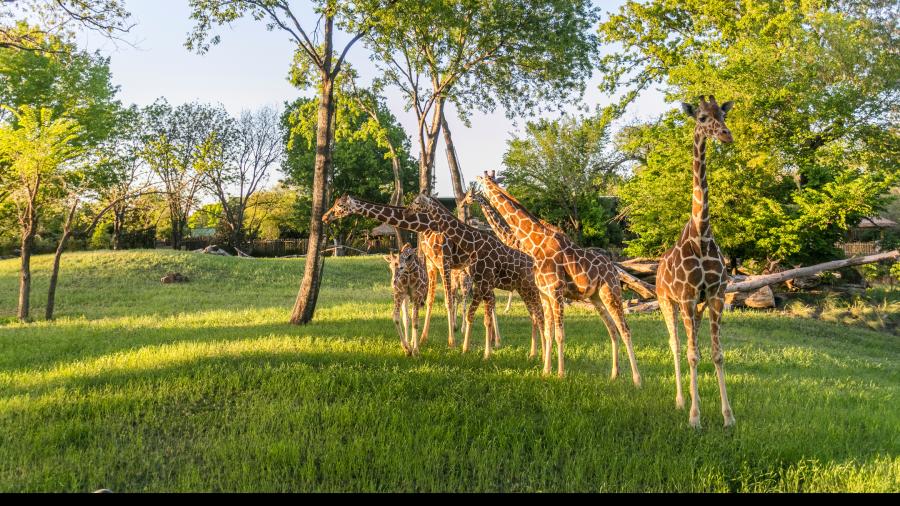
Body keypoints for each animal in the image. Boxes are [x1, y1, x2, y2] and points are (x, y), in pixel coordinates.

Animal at [323, 195, 471, 348]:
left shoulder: (444, 261)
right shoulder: (431, 263)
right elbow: (430, 300)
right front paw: (422, 339)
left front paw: (452, 342)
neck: (427, 225)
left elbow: (447, 301)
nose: (325, 217)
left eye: (340, 205)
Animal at [475, 173, 641, 384]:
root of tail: (613, 267)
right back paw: (614, 374)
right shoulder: (545, 294)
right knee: (612, 329)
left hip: (611, 292)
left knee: (625, 329)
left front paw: (560, 374)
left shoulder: (556, 292)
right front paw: (546, 371)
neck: (536, 243)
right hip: (596, 297)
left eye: (479, 184)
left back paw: (637, 380)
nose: (468, 198)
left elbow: (560, 334)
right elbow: (548, 331)